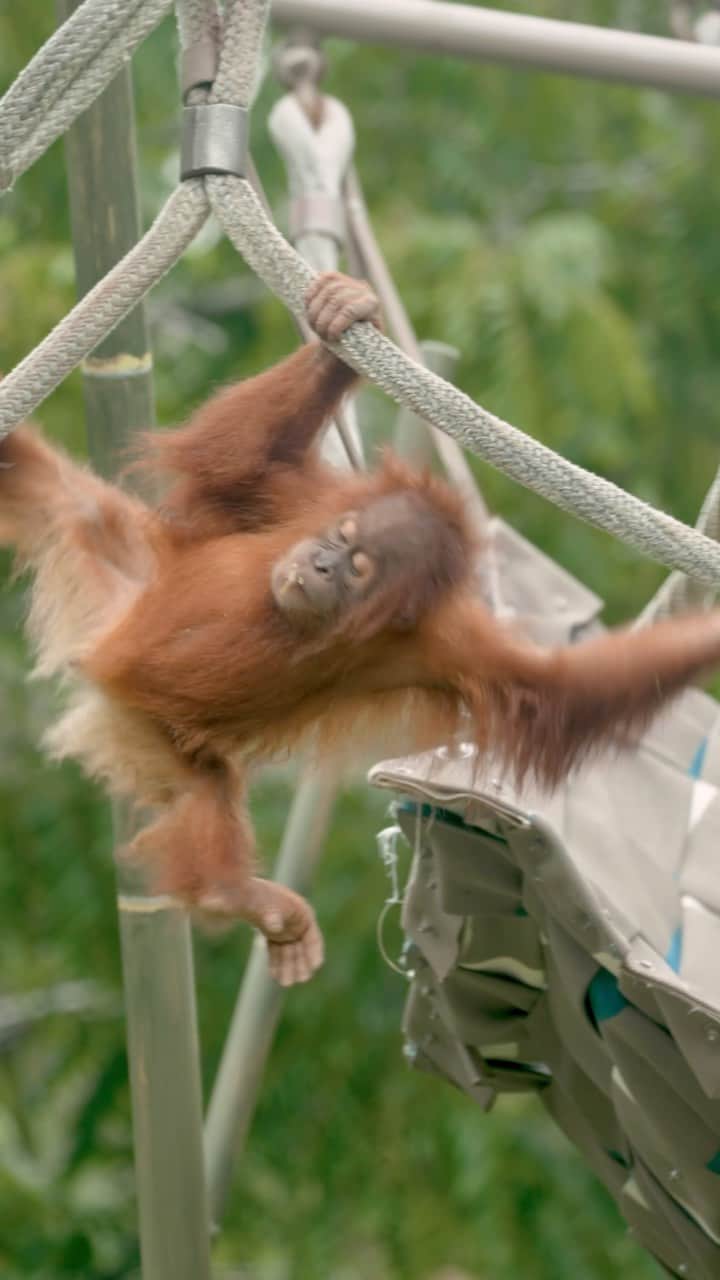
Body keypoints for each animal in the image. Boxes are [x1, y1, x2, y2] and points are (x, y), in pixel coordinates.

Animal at [2, 270, 720, 985]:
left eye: (359, 566)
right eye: (341, 536)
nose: (320, 562)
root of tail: (103, 658)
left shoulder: (446, 643)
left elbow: (549, 689)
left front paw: (703, 636)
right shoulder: (304, 504)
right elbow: (236, 465)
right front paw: (341, 315)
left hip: (160, 729)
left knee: (206, 787)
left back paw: (233, 895)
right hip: (134, 579)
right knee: (58, 489)